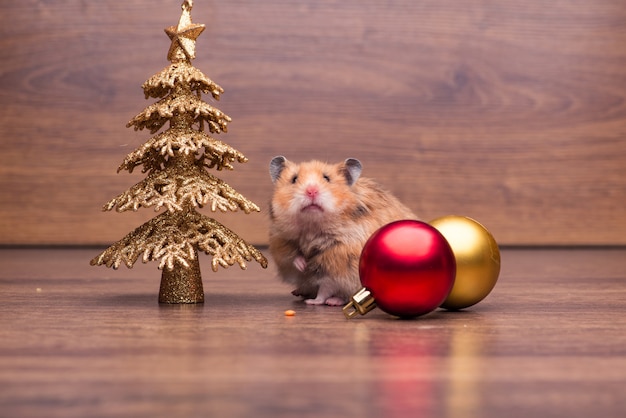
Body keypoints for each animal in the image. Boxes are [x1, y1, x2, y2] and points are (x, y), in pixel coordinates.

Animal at [266, 155, 416, 306]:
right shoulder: (281, 241)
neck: (312, 227)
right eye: (294, 179)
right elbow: (292, 255)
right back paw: (298, 292)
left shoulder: (339, 264)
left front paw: (314, 301)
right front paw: (303, 265)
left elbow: (326, 287)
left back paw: (328, 301)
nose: (311, 191)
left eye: (327, 178)